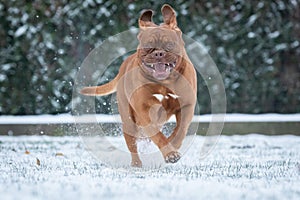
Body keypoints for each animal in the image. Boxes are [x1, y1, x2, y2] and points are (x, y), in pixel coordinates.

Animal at [80, 4, 197, 167]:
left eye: (169, 44)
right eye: (148, 46)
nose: (159, 53)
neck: (164, 83)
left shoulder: (186, 106)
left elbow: (180, 130)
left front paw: (173, 146)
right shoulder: (144, 111)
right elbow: (158, 136)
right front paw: (170, 153)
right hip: (129, 121)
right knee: (133, 143)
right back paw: (136, 164)